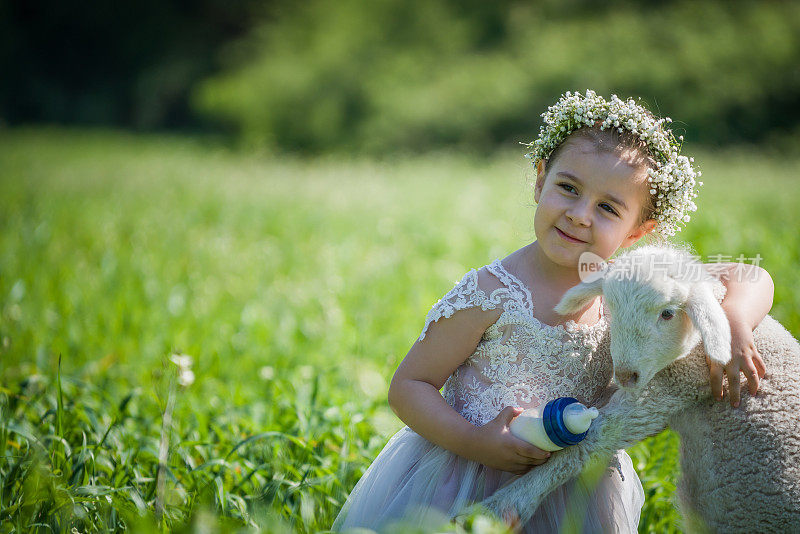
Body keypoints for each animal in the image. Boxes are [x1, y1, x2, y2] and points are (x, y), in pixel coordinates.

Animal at [468, 247, 800, 534]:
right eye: (611, 307)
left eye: (668, 313)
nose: (626, 375)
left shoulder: (665, 391)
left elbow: (586, 445)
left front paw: (495, 510)